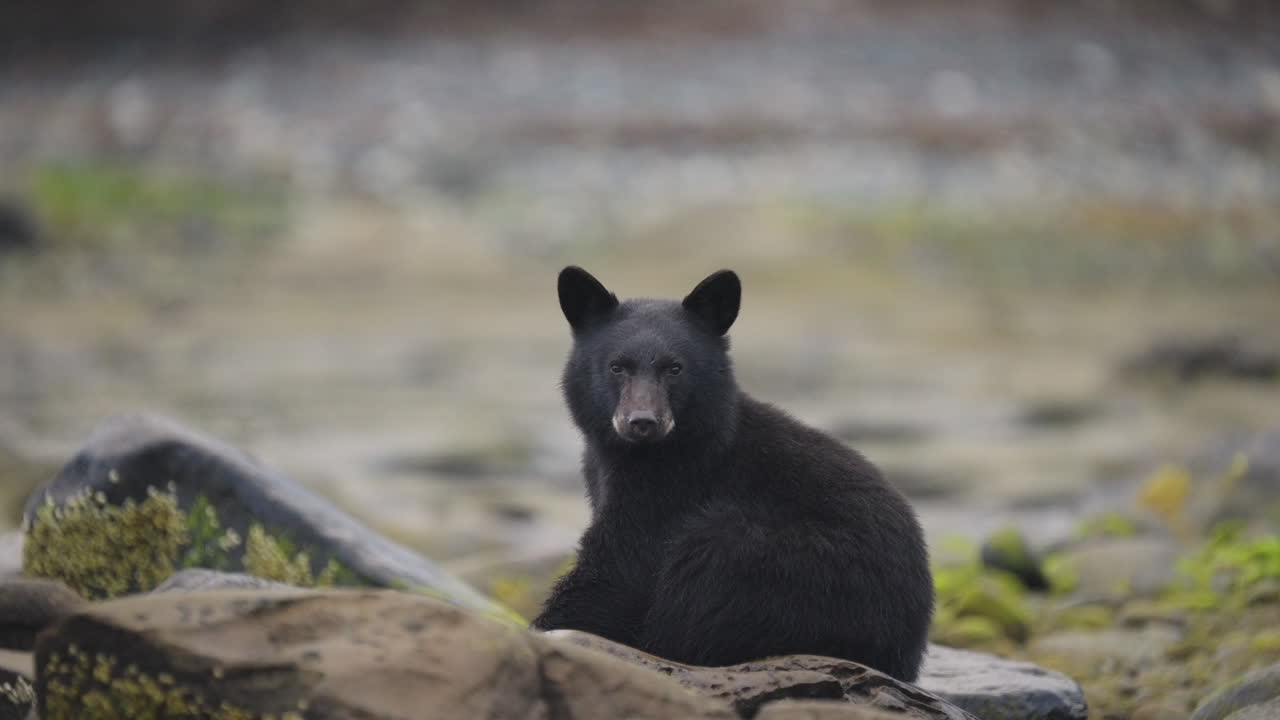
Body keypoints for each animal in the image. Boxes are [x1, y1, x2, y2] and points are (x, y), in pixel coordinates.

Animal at [532, 266, 934, 682]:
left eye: (675, 368)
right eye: (616, 366)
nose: (642, 422)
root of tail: (909, 651)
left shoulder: (671, 486)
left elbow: (619, 567)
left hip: (779, 563)